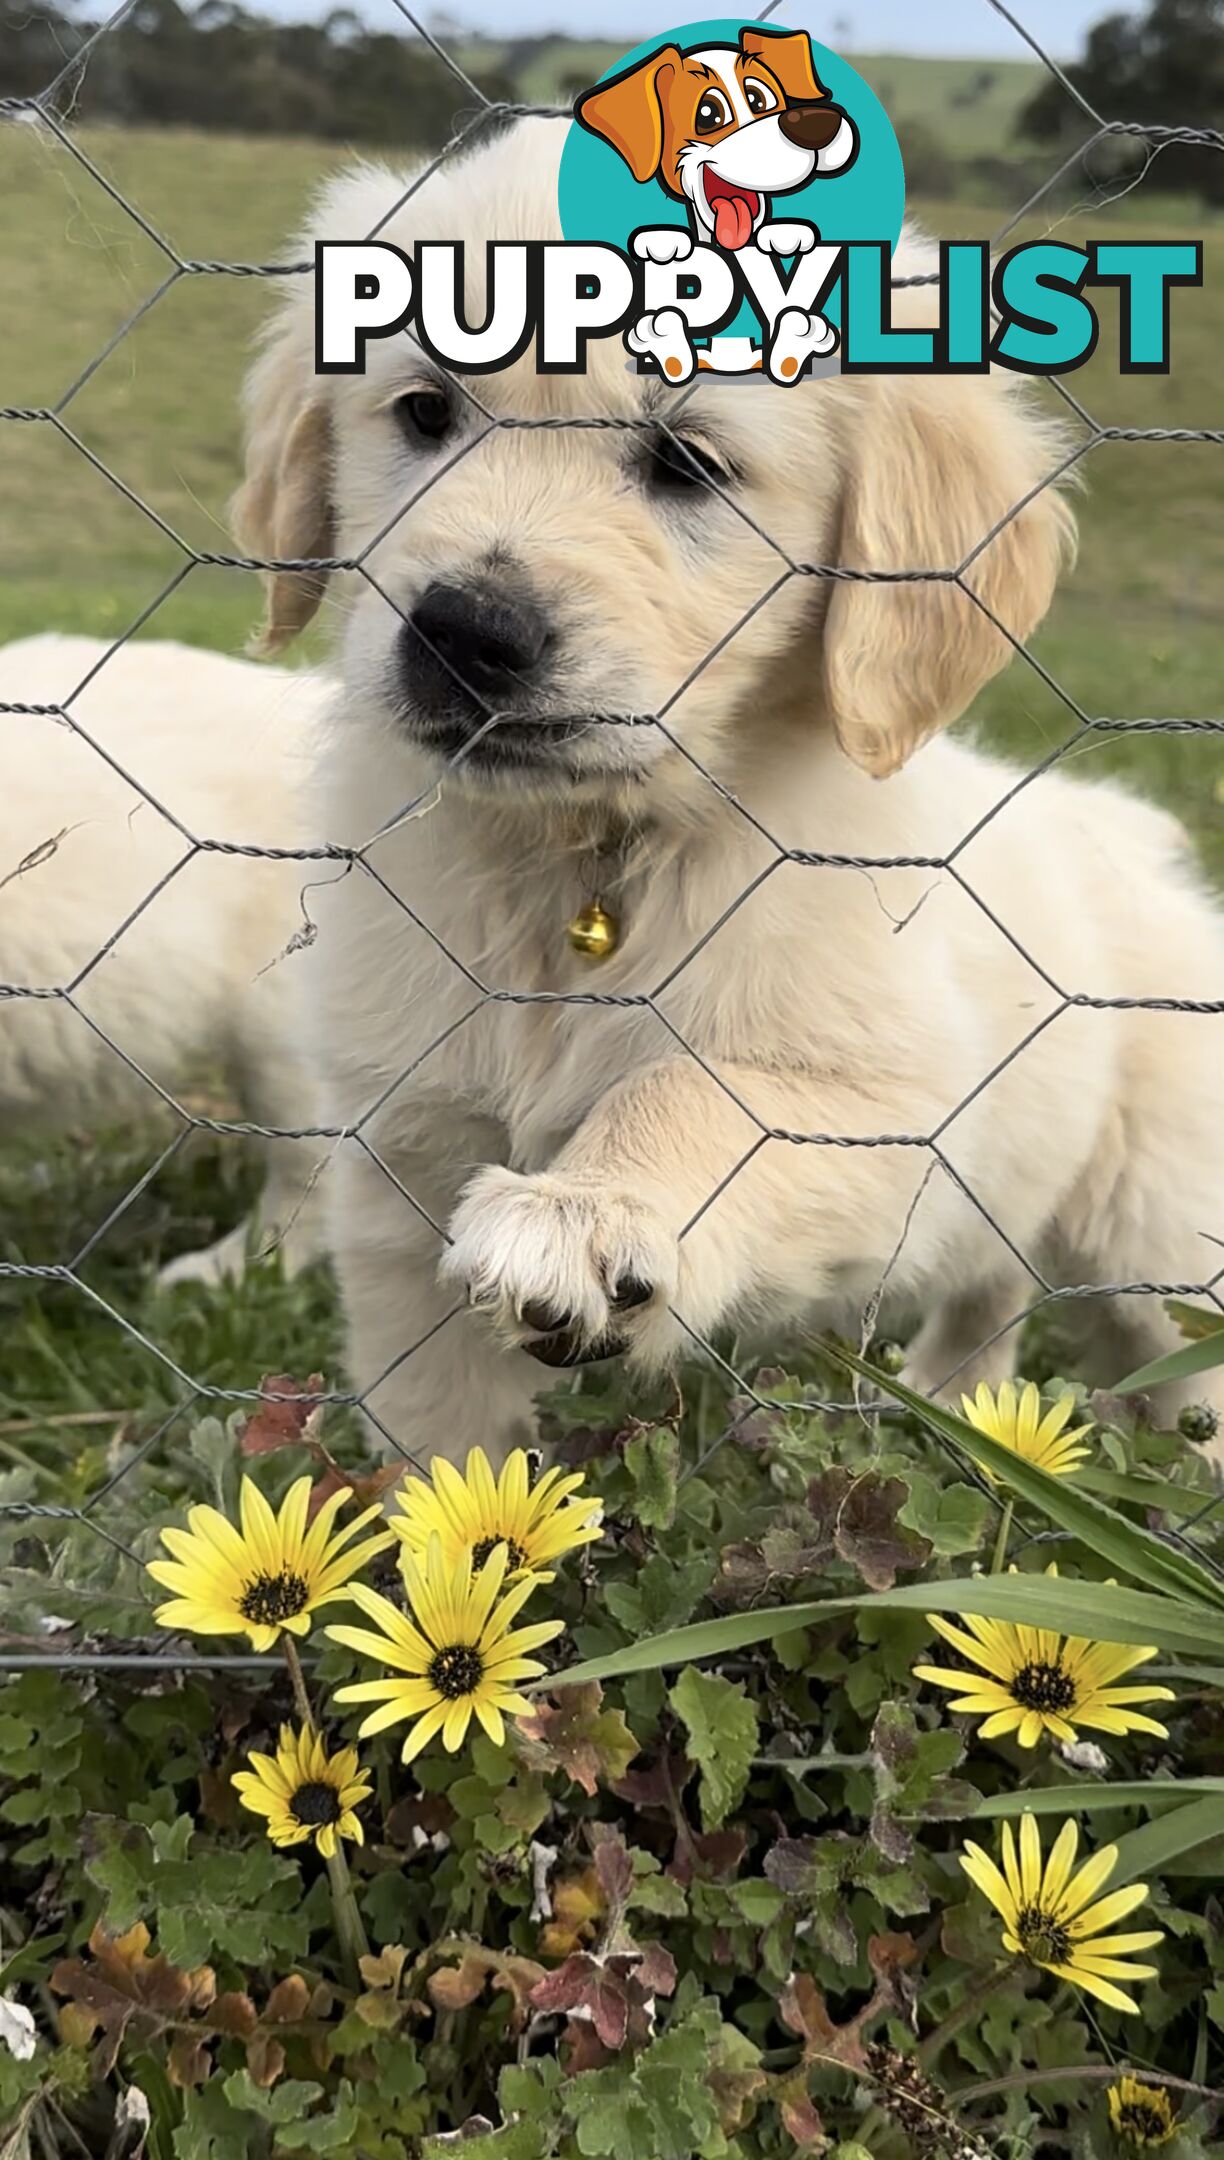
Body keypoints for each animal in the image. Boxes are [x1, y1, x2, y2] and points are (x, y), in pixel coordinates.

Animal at [237, 118, 1224, 1468]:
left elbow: (693, 1085)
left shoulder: (895, 1122)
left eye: (686, 461)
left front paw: (592, 1207)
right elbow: (445, 1448)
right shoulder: (404, 1159)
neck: (589, 857)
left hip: (1159, 1233)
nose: (463, 632)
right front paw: (429, 1527)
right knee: (992, 1300)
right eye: (425, 410)